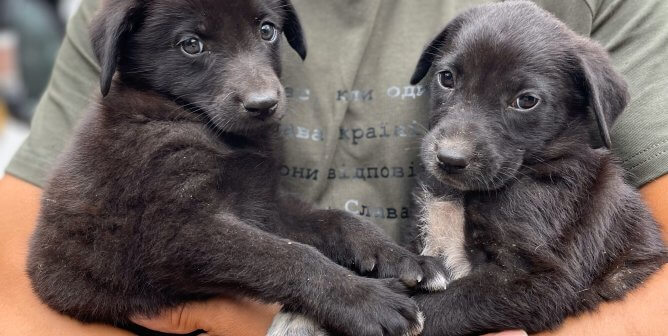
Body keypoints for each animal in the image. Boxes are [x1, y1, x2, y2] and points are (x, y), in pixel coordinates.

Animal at [26, 1, 446, 334]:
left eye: (266, 30)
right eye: (191, 44)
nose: (264, 104)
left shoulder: (263, 205)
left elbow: (337, 221)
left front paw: (404, 259)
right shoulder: (180, 230)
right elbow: (290, 256)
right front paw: (369, 302)